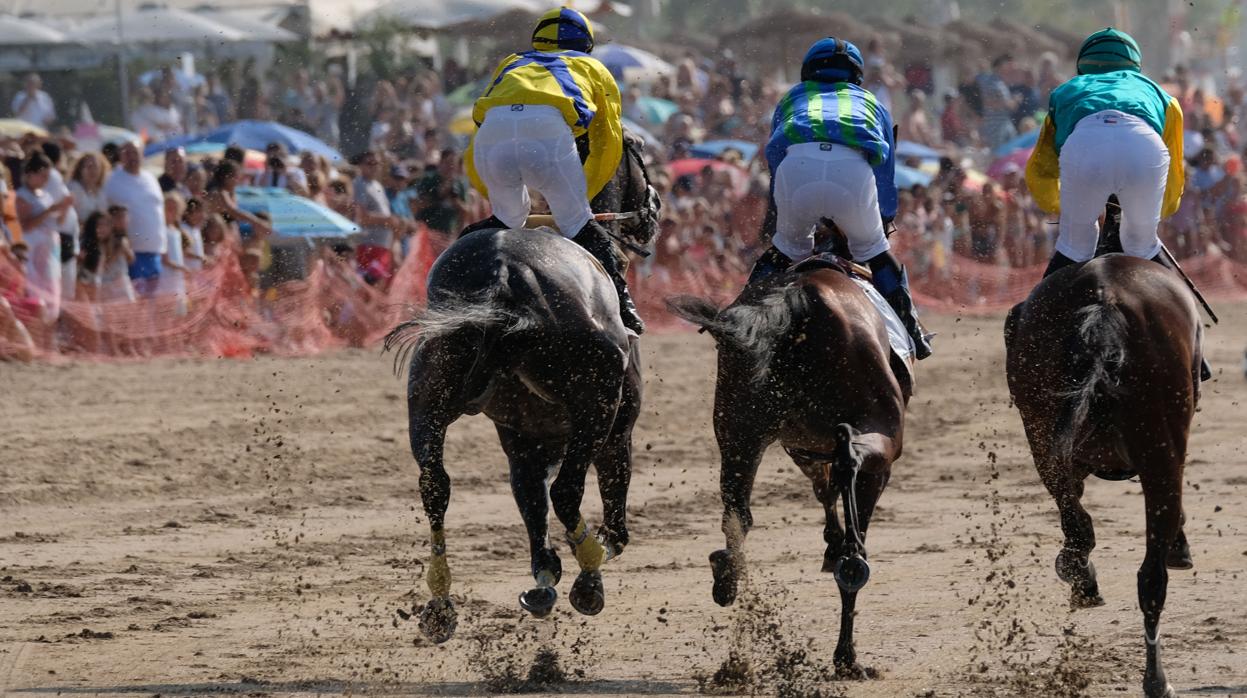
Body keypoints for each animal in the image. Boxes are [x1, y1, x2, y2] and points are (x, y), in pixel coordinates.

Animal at [386, 136, 663, 643]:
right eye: (639, 158)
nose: (653, 209)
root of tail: (503, 275)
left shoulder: (522, 437)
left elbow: (529, 501)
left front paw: (544, 576)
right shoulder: (618, 428)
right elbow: (610, 518)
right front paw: (579, 563)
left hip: (428, 398)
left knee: (435, 487)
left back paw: (440, 604)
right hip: (597, 404)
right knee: (568, 492)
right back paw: (589, 578)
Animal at [668, 259, 912, 673]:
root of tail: (794, 298)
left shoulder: (802, 448)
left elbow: (824, 492)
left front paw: (831, 544)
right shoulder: (869, 463)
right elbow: (842, 497)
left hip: (739, 431)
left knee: (738, 513)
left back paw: (727, 578)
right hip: (879, 433)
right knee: (849, 462)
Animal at [1002, 215, 1197, 693]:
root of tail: (1104, 304)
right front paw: (1180, 545)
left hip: (1043, 436)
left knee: (1079, 524)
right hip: (1159, 451)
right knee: (1151, 575)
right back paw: (1156, 678)